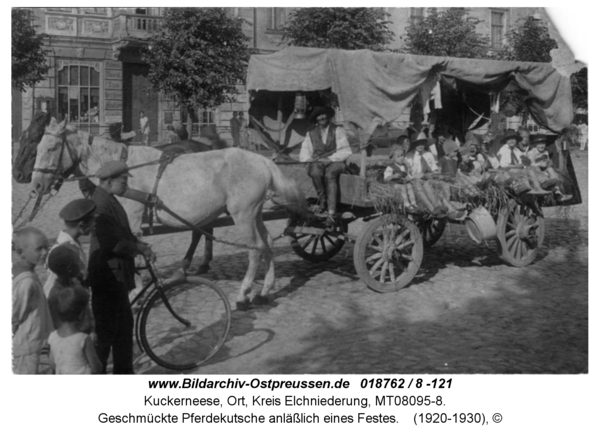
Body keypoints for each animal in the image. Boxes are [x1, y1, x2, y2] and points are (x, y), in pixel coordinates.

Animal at [31, 118, 304, 308]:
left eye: (52, 147)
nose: (36, 186)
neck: (121, 168)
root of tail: (262, 161)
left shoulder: (132, 219)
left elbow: (135, 252)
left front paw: (136, 291)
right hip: (255, 213)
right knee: (267, 243)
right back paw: (265, 290)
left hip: (243, 215)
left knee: (255, 249)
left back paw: (243, 292)